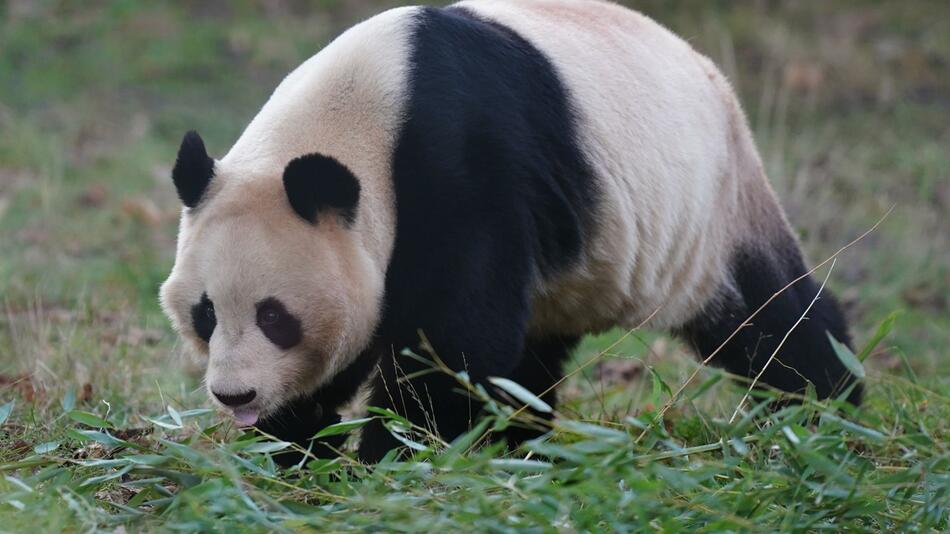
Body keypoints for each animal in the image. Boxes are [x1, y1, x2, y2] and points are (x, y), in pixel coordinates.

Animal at [162, 0, 864, 464]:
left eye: (275, 316)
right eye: (205, 313)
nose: (234, 393)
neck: (364, 112)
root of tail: (709, 72)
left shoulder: (462, 166)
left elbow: (455, 338)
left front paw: (396, 455)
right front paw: (298, 447)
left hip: (709, 209)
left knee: (771, 321)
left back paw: (829, 410)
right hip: (581, 267)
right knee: (534, 354)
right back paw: (523, 445)